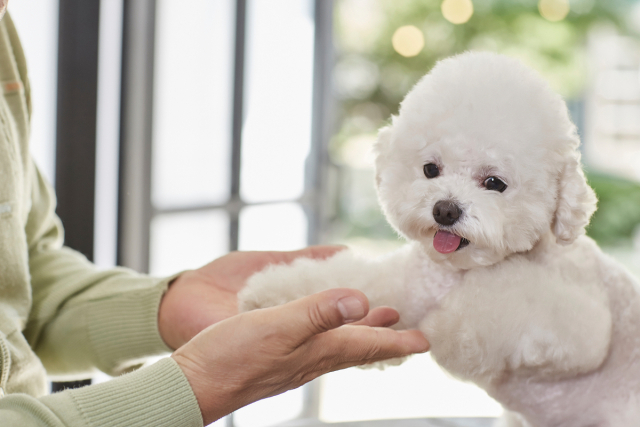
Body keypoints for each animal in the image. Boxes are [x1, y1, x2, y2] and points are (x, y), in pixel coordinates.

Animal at [238, 51, 640, 426]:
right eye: (431, 169)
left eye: (494, 183)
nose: (445, 210)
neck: (457, 273)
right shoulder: (410, 283)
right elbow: (351, 279)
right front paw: (268, 294)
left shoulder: (583, 316)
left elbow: (508, 298)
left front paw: (448, 332)